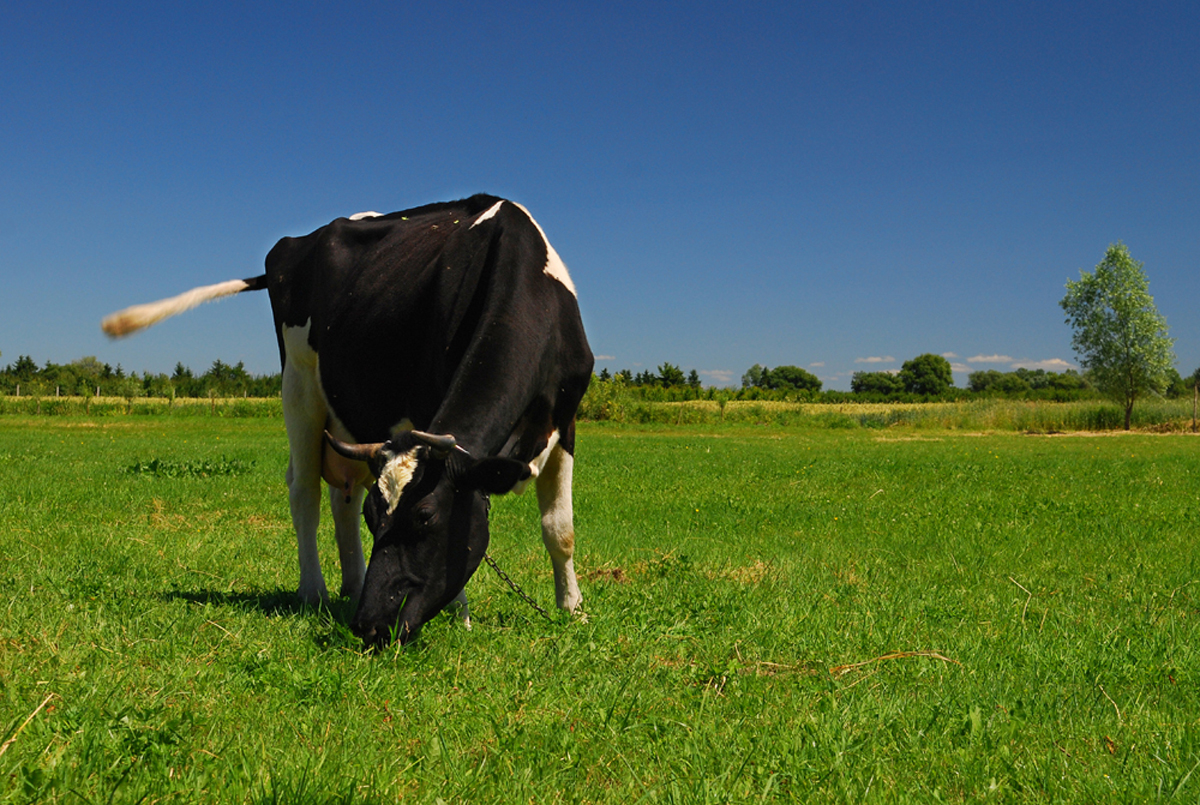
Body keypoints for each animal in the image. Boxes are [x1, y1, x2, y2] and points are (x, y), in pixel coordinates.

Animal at [102, 195, 594, 647]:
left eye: (425, 518)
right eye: (375, 520)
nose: (369, 625)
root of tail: (294, 245)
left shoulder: (566, 422)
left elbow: (560, 530)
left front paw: (573, 610)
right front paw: (463, 616)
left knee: (342, 494)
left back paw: (353, 585)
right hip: (299, 385)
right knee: (305, 491)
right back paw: (315, 591)